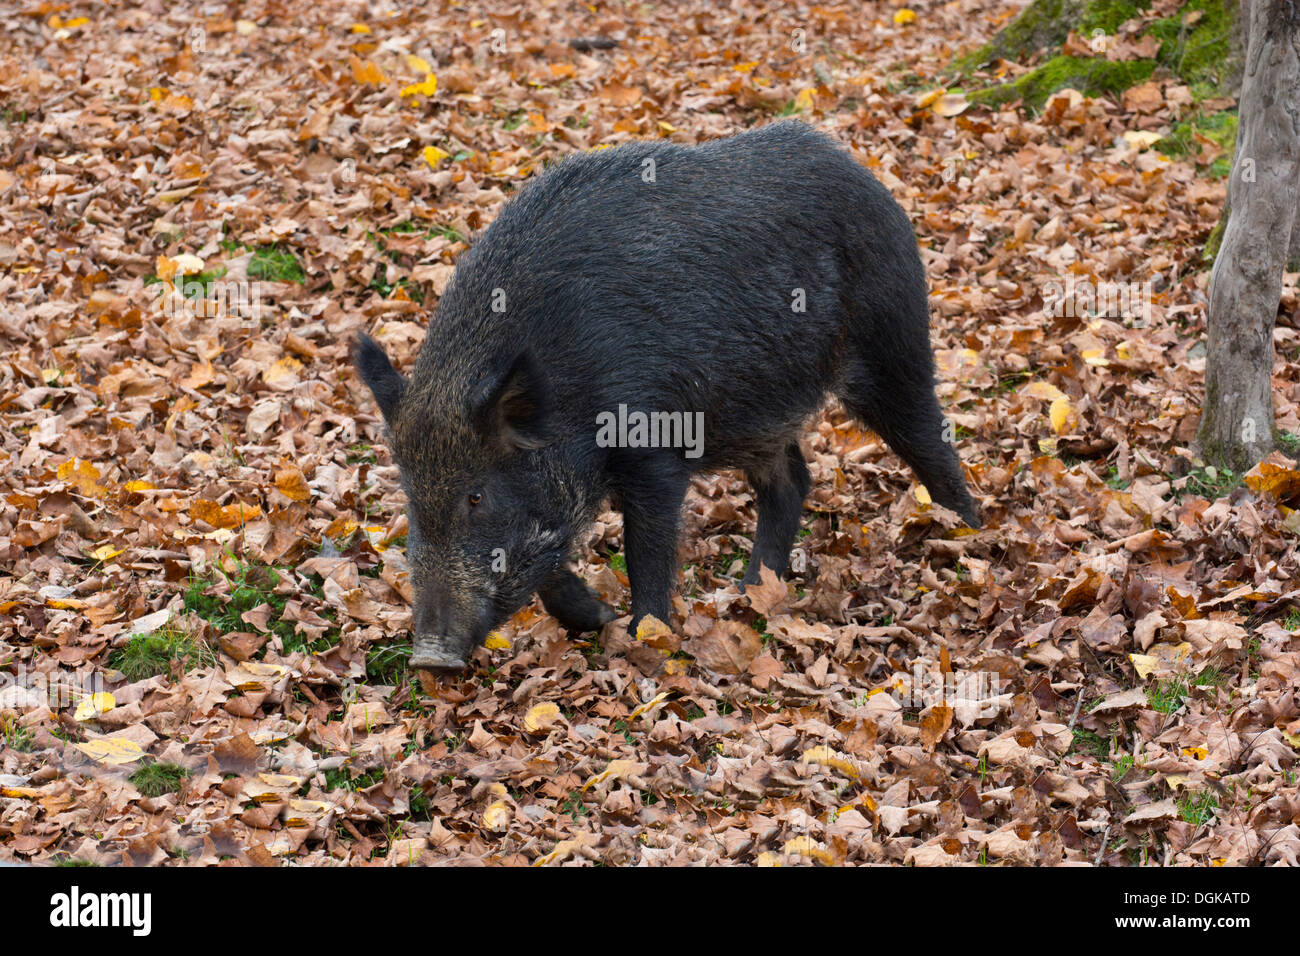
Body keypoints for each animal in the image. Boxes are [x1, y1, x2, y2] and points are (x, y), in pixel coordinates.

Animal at [356, 121, 980, 671]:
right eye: (410, 493)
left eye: (476, 496)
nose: (430, 658)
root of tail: (864, 174)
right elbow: (550, 562)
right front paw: (600, 619)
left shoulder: (653, 447)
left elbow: (647, 551)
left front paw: (644, 639)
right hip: (760, 412)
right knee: (792, 481)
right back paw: (752, 591)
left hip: (891, 340)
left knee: (930, 440)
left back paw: (968, 534)